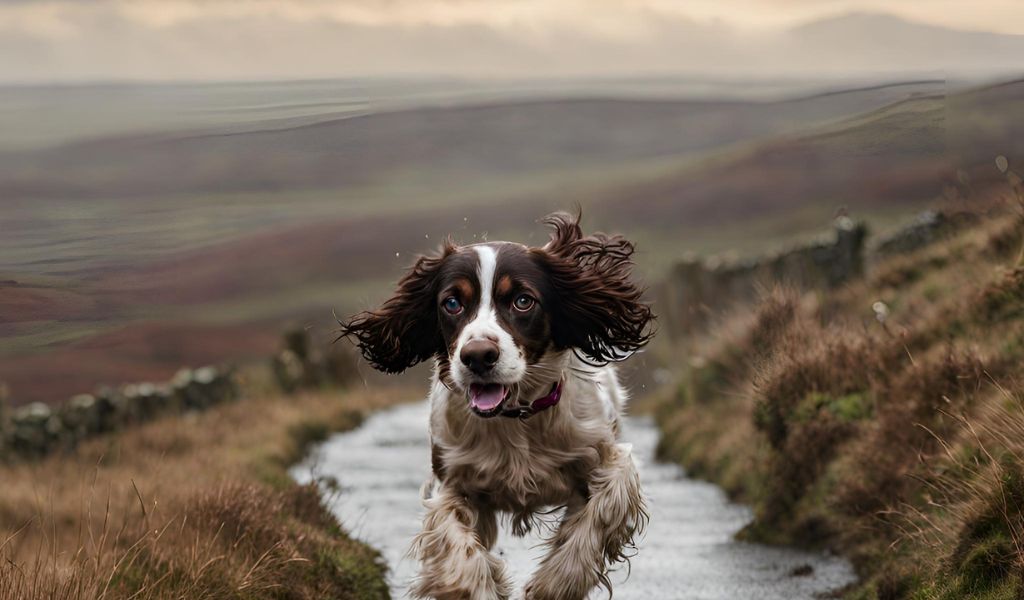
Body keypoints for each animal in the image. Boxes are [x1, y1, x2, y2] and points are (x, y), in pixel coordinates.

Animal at [339, 212, 651, 593]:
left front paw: (553, 584)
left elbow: (598, 515)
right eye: (452, 303)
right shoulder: (453, 482)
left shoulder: (605, 458)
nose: (477, 356)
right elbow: (459, 552)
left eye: (522, 301)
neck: (515, 418)